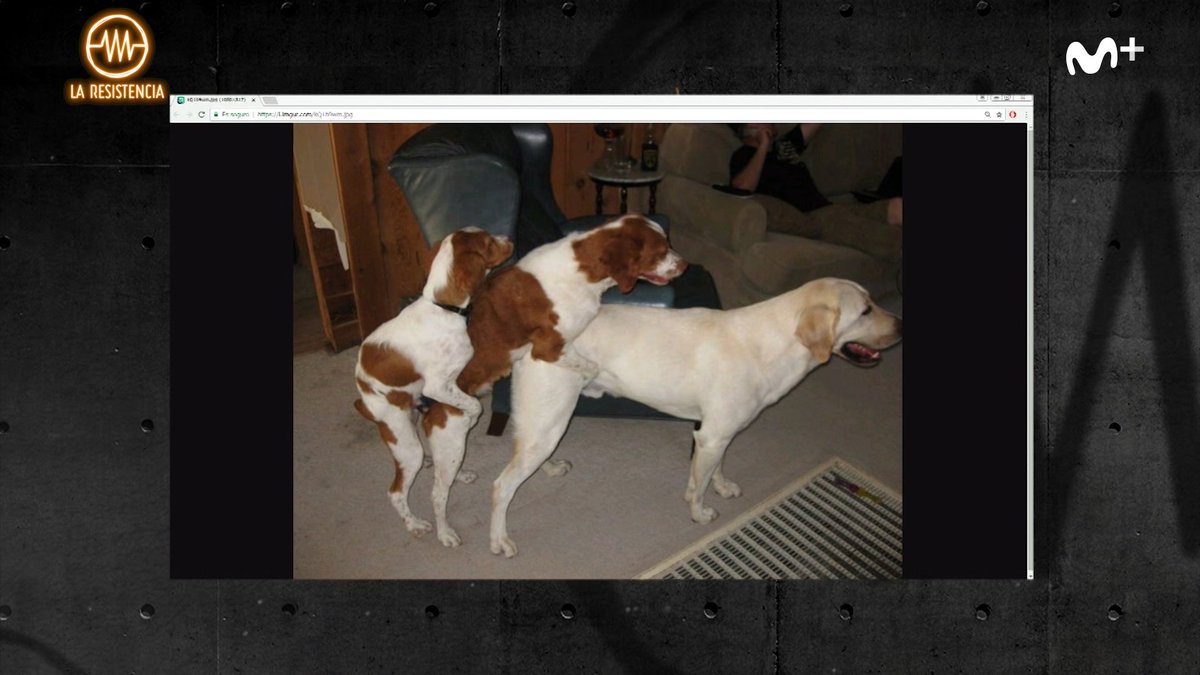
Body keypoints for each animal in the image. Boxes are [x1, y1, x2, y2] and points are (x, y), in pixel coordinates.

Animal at [354, 227, 513, 542]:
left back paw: (455, 471)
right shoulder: (437, 386)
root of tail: (363, 396)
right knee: (396, 492)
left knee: (435, 460)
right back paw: (415, 524)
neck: (443, 308)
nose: (510, 238)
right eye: (489, 242)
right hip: (403, 438)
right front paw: (472, 416)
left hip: (411, 418)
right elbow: (472, 404)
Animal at [420, 214, 688, 549]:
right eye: (661, 250)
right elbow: (588, 365)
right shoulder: (548, 349)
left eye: (668, 243)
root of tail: (427, 410)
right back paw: (446, 532)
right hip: (454, 439)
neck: (581, 269)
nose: (685, 264)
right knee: (439, 495)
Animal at [489, 277, 901, 555]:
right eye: (865, 310)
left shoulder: (718, 434)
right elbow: (697, 486)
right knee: (502, 486)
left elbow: (714, 471)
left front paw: (722, 487)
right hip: (550, 417)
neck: (775, 343)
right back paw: (499, 540)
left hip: (547, 421)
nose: (901, 324)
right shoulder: (710, 436)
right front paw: (700, 513)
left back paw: (551, 468)